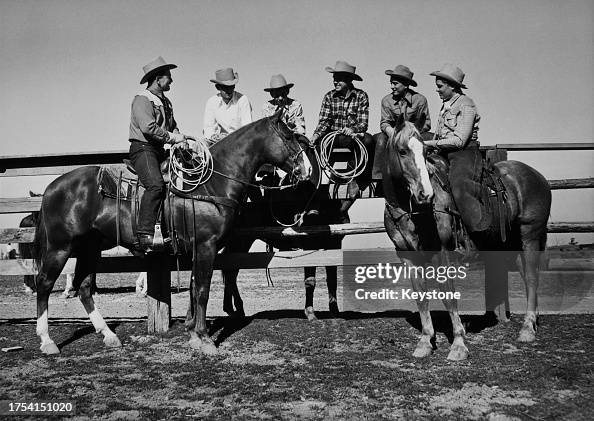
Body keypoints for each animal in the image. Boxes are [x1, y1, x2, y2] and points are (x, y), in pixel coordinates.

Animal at [31, 112, 314, 354]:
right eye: (288, 137)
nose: (308, 170)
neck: (211, 184)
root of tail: (52, 187)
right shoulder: (206, 246)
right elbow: (202, 289)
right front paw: (205, 339)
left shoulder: (198, 248)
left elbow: (194, 287)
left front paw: (193, 334)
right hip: (60, 247)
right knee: (44, 283)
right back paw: (47, 341)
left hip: (90, 248)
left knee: (84, 288)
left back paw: (108, 335)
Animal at [384, 118, 552, 360]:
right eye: (402, 150)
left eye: (425, 151)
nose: (426, 194)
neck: (411, 211)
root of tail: (538, 176)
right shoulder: (408, 258)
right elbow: (421, 298)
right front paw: (425, 342)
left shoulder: (442, 253)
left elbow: (448, 296)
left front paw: (458, 345)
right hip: (512, 243)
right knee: (527, 276)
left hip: (530, 235)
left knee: (531, 278)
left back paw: (528, 329)